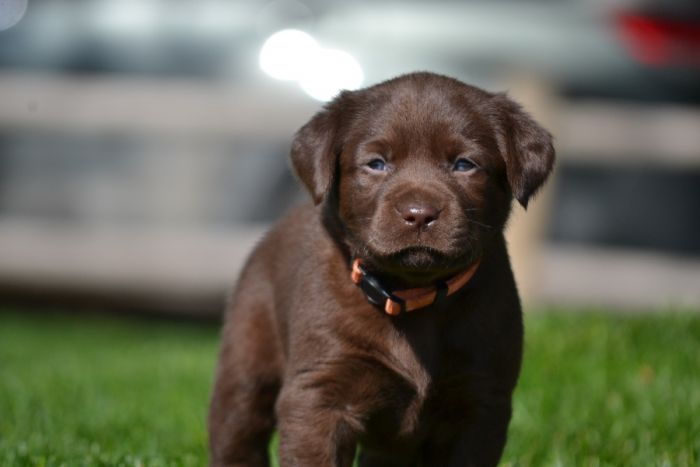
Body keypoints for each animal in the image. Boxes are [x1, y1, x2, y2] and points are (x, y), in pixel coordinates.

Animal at [208, 72, 552, 467]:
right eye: (376, 163)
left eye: (464, 164)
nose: (419, 214)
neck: (411, 296)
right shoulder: (320, 393)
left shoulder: (480, 401)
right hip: (248, 361)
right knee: (238, 429)